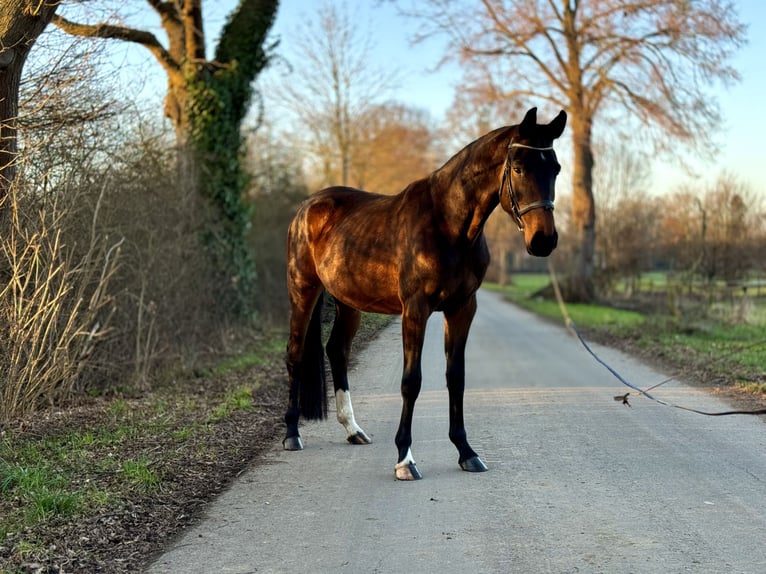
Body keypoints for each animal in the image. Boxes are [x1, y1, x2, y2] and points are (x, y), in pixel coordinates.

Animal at [284, 108, 568, 482]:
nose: (543, 240)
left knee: (337, 351)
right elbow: (412, 381)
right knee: (295, 354)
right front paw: (405, 459)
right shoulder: (415, 310)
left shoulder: (462, 308)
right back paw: (292, 434)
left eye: (556, 168)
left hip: (349, 301)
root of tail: (307, 207)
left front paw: (466, 452)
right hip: (303, 290)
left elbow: (456, 377)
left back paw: (353, 430)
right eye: (519, 167)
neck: (447, 224)